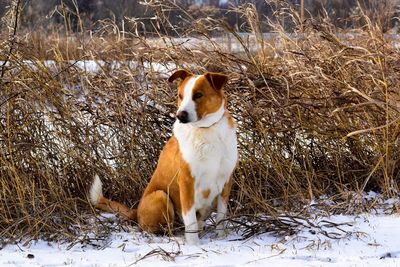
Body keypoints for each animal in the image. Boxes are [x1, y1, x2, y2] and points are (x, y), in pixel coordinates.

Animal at [90, 70, 238, 246]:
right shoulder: (186, 182)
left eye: (198, 95)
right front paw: (193, 245)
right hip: (160, 196)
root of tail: (136, 212)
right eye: (180, 95)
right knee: (164, 229)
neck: (205, 130)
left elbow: (221, 216)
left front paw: (221, 238)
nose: (180, 115)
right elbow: (190, 219)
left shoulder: (226, 181)